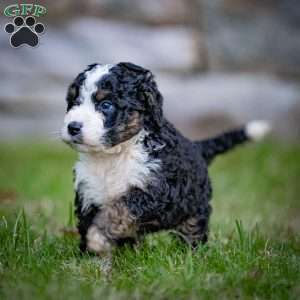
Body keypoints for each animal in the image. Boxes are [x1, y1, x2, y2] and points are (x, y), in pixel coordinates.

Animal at [60, 61, 270, 258]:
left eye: (106, 105)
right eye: (74, 101)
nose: (73, 127)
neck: (113, 154)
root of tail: (197, 147)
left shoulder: (155, 190)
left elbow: (118, 210)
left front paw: (97, 239)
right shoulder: (88, 194)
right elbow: (89, 225)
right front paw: (89, 258)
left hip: (194, 209)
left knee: (193, 231)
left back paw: (193, 255)